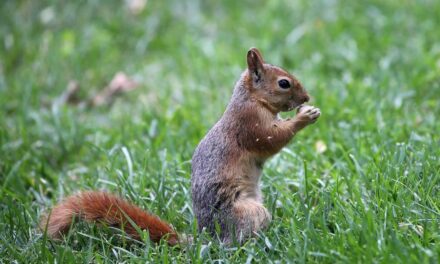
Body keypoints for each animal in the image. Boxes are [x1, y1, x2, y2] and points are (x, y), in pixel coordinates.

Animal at [40, 47, 320, 245]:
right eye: (283, 83)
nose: (306, 97)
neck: (251, 98)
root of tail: (208, 239)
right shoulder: (249, 124)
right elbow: (271, 139)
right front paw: (304, 117)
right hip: (247, 212)